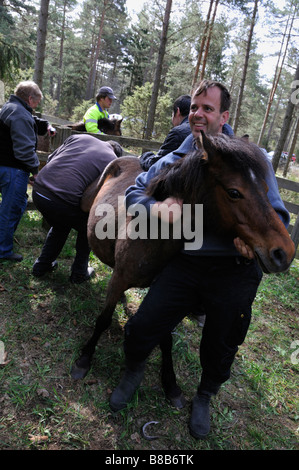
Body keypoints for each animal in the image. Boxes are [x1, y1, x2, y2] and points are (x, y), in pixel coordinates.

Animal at [71, 132, 296, 408]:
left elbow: (164, 339)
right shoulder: (119, 279)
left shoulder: (163, 296)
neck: (152, 232)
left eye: (266, 189)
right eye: (234, 192)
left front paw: (170, 384)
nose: (284, 252)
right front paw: (84, 359)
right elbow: (102, 320)